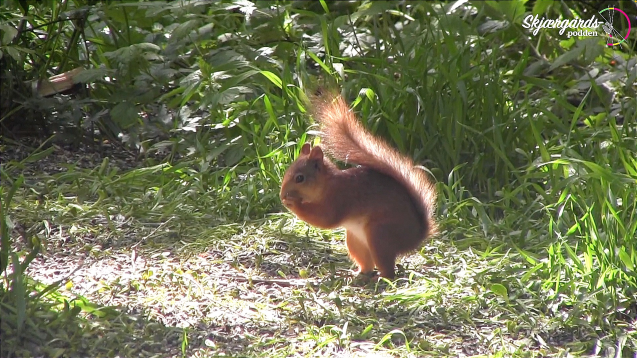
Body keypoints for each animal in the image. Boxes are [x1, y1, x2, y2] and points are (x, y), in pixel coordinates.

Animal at [280, 91, 438, 278]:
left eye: (300, 178)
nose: (282, 194)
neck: (327, 185)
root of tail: (416, 236)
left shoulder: (340, 198)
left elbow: (326, 219)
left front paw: (293, 203)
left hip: (380, 234)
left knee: (388, 269)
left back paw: (380, 277)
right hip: (356, 241)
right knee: (367, 263)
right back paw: (358, 274)